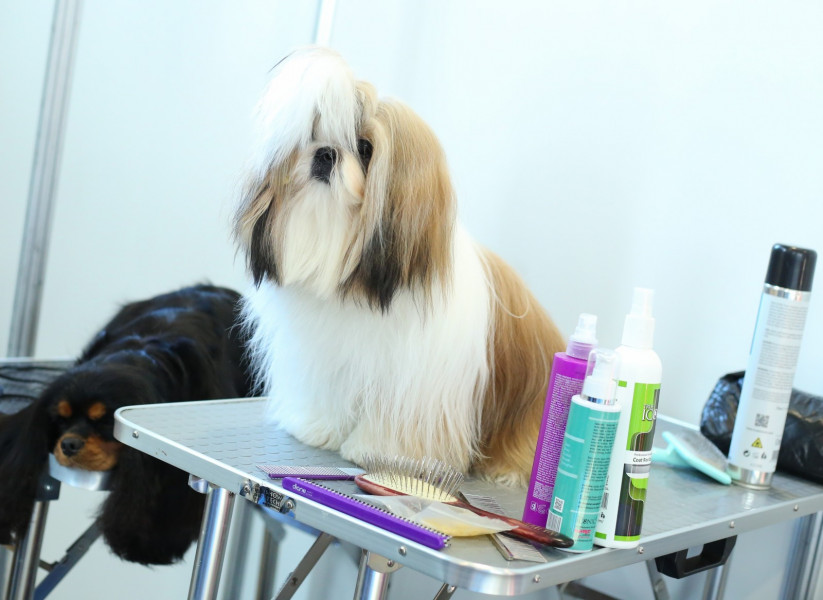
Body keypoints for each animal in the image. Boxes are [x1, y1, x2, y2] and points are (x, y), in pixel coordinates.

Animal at [233, 47, 565, 485]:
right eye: (312, 135)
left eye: (364, 147)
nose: (325, 153)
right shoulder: (331, 359)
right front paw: (319, 428)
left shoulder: (419, 387)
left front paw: (382, 453)